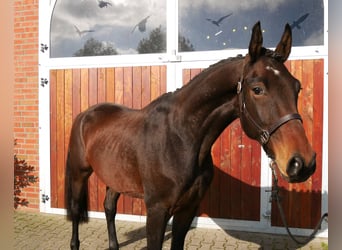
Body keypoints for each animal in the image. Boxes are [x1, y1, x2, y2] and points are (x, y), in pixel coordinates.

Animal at [64, 22, 316, 250]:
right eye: (257, 89)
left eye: (297, 87)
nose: (302, 163)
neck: (180, 140)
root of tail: (86, 115)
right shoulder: (156, 211)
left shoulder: (187, 209)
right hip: (79, 174)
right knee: (76, 211)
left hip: (115, 177)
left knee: (109, 207)